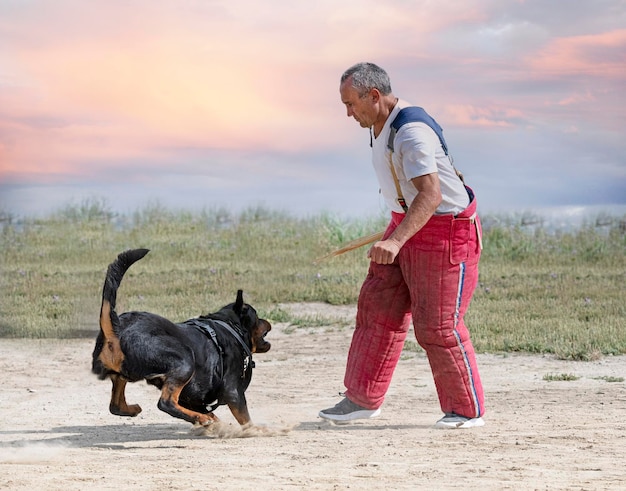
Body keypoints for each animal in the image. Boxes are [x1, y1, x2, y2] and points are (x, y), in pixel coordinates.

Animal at [92, 250, 270, 426]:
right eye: (257, 316)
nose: (267, 321)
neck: (230, 326)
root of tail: (118, 327)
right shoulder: (233, 392)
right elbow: (246, 420)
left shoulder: (192, 397)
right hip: (185, 360)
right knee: (166, 403)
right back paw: (201, 419)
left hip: (121, 373)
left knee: (116, 404)